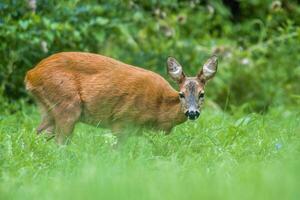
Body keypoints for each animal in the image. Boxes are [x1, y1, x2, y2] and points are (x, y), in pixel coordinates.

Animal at [25, 52, 218, 145]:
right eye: (181, 94)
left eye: (202, 94)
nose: (192, 112)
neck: (159, 109)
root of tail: (31, 74)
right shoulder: (122, 120)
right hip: (67, 104)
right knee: (59, 143)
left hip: (49, 108)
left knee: (36, 135)